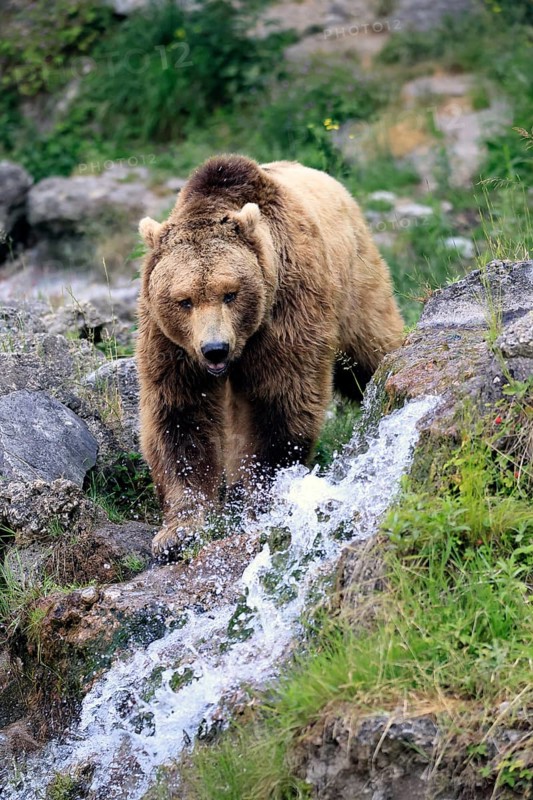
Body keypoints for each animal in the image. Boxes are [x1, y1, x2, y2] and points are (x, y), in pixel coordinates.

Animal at [137, 155, 404, 558]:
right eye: (184, 300)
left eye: (230, 293)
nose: (215, 349)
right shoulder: (170, 343)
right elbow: (179, 414)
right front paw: (179, 530)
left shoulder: (286, 309)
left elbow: (279, 401)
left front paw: (261, 500)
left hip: (355, 281)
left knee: (370, 348)